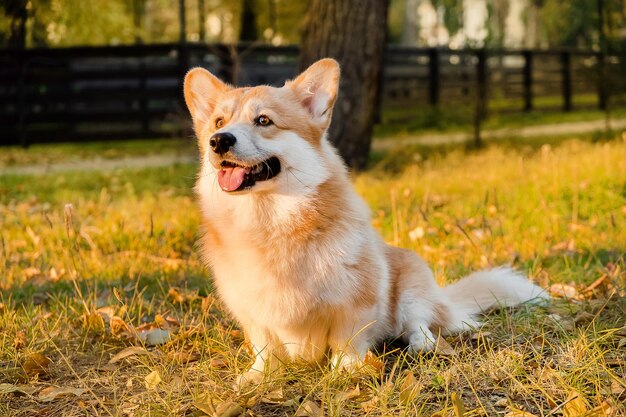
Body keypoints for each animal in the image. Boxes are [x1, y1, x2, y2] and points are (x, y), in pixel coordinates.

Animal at [182, 58, 544, 386]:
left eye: (263, 120)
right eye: (218, 121)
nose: (219, 140)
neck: (268, 223)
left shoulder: (356, 301)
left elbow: (348, 338)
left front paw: (347, 369)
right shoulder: (252, 312)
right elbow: (264, 346)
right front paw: (259, 375)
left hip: (411, 287)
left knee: (419, 322)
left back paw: (423, 344)